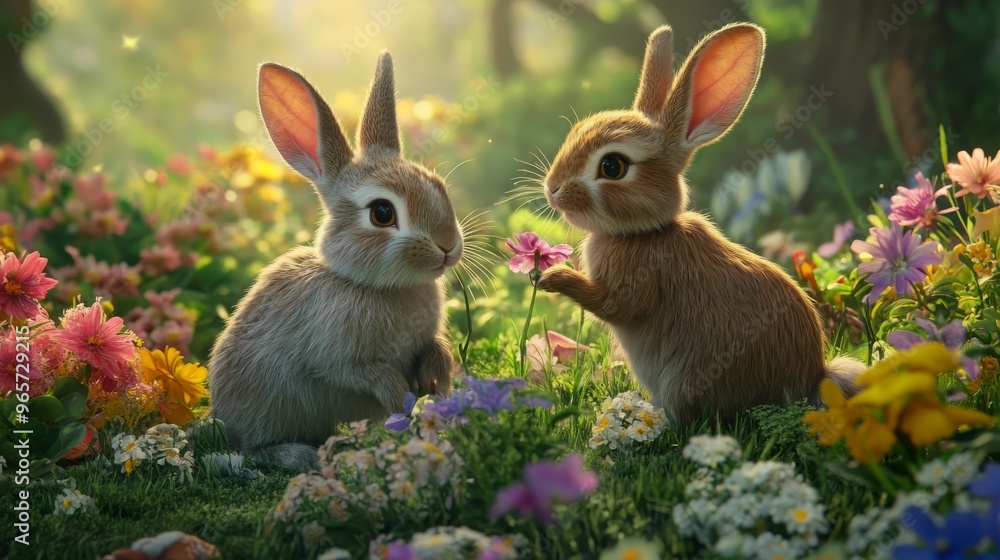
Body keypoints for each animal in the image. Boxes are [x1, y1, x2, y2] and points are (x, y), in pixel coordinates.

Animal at [208, 52, 461, 472]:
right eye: (381, 213)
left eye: (439, 187)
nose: (448, 247)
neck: (375, 285)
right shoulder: (334, 357)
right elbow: (361, 373)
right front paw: (401, 401)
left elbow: (434, 348)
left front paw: (437, 380)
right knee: (252, 449)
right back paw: (300, 454)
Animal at [536, 23, 864, 426]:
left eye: (612, 166)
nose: (552, 190)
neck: (646, 233)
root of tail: (813, 378)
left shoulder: (636, 285)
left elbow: (612, 305)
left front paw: (552, 278)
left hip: (688, 379)